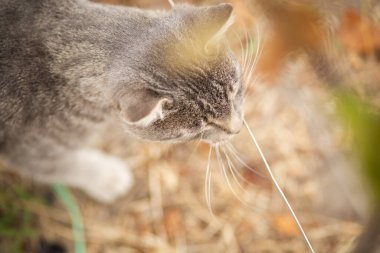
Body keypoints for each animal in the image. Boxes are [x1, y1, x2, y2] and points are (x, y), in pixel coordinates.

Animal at [0, 0, 243, 202]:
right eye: (201, 126)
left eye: (234, 91)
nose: (238, 129)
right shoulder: (28, 147)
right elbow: (63, 166)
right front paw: (106, 177)